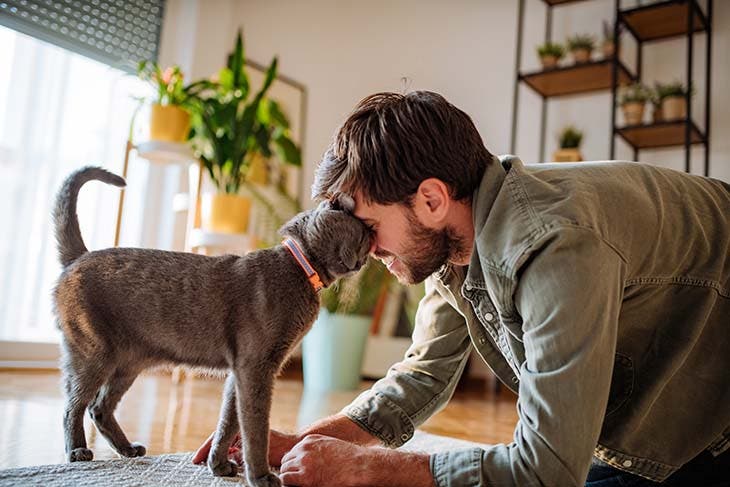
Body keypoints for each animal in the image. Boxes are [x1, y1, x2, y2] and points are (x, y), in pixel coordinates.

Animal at [52, 168, 370, 487]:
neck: (302, 270)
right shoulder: (256, 367)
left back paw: (128, 449)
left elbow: (230, 420)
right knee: (73, 405)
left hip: (129, 363)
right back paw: (78, 451)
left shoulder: (241, 370)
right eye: (364, 238)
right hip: (94, 353)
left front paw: (218, 464)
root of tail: (80, 256)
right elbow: (255, 426)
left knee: (99, 408)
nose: (365, 260)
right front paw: (260, 476)